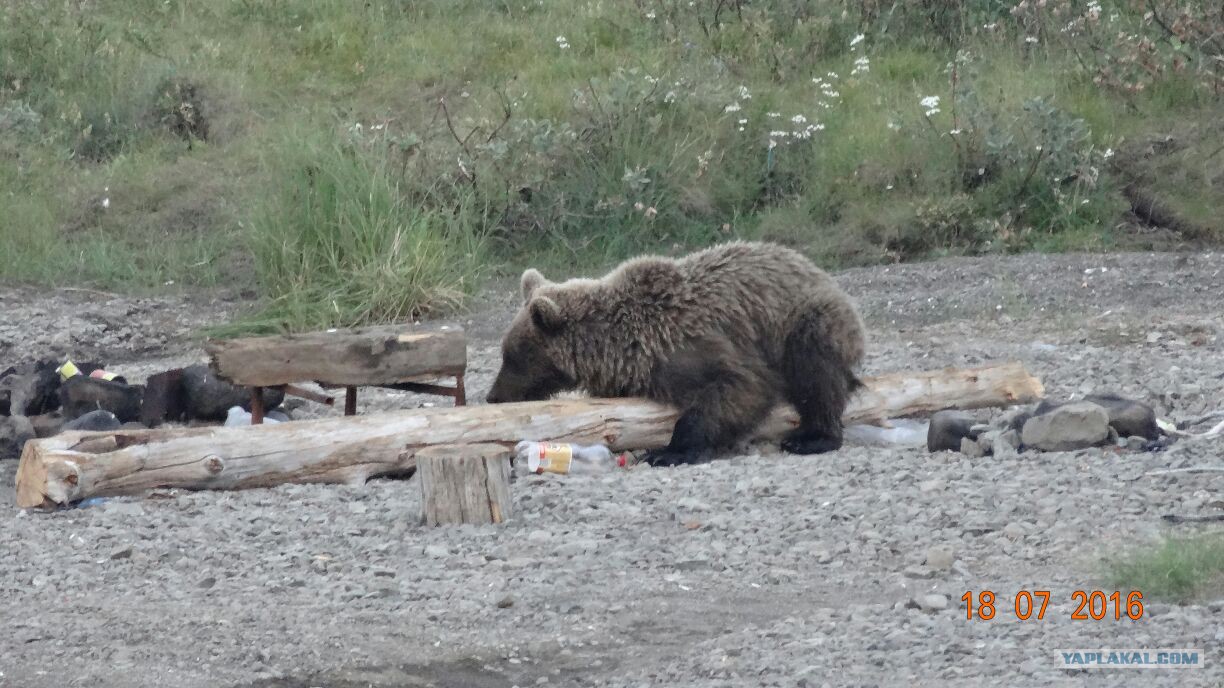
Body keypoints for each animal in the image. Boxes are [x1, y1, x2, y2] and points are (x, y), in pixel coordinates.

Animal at [482, 238, 866, 462]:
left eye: (513, 357)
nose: (492, 396)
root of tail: (819, 272)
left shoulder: (692, 343)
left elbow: (742, 386)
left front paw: (670, 450)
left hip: (803, 320)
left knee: (816, 372)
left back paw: (812, 437)